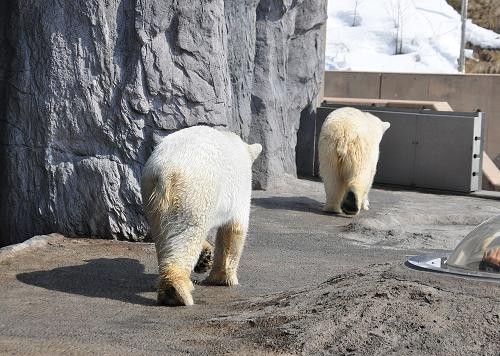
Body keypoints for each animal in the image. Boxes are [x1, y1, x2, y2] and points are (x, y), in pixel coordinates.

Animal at [141, 125, 262, 306]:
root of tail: (165, 173)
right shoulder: (239, 187)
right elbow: (234, 228)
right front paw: (223, 279)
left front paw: (205, 258)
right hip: (193, 193)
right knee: (187, 234)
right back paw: (175, 291)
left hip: (152, 197)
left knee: (164, 236)